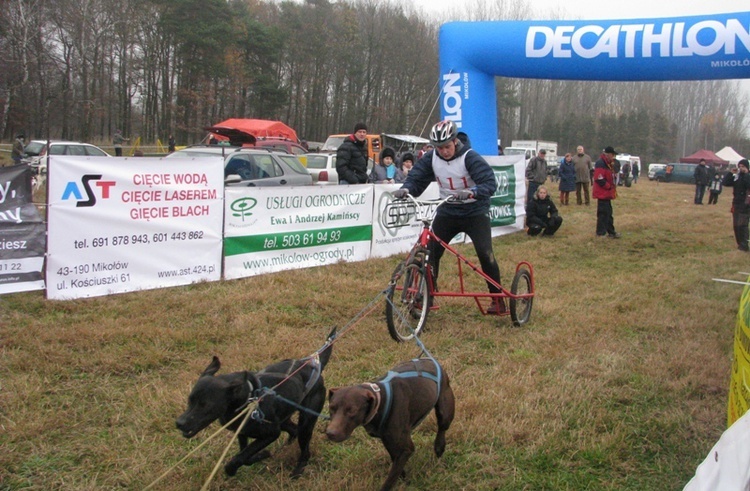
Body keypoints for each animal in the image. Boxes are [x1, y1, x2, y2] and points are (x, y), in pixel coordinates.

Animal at [176, 328, 334, 478]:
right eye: (190, 400)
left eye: (206, 405)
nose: (179, 423)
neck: (248, 398)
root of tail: (314, 365)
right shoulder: (242, 432)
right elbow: (244, 456)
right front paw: (261, 456)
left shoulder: (271, 433)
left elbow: (240, 458)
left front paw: (243, 463)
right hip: (283, 419)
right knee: (294, 430)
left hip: (306, 422)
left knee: (305, 449)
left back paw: (298, 470)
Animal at [326, 358, 456, 491]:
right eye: (331, 408)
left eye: (352, 410)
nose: (330, 433)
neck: (380, 400)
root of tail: (429, 359)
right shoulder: (389, 442)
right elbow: (396, 466)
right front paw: (404, 478)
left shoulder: (405, 448)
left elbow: (390, 480)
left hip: (445, 409)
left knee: (442, 428)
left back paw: (439, 446)